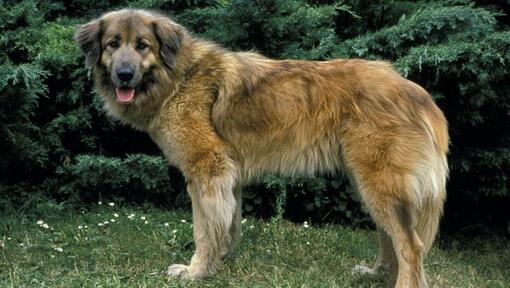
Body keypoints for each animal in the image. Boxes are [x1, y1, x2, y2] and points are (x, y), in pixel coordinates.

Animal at [74, 9, 446, 288]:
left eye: (143, 46)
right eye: (113, 44)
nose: (124, 74)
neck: (179, 76)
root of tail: (418, 94)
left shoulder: (207, 169)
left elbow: (203, 228)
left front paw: (195, 272)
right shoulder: (228, 176)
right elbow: (228, 223)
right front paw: (220, 263)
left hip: (378, 182)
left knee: (411, 244)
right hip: (366, 182)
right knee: (391, 236)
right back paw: (376, 273)